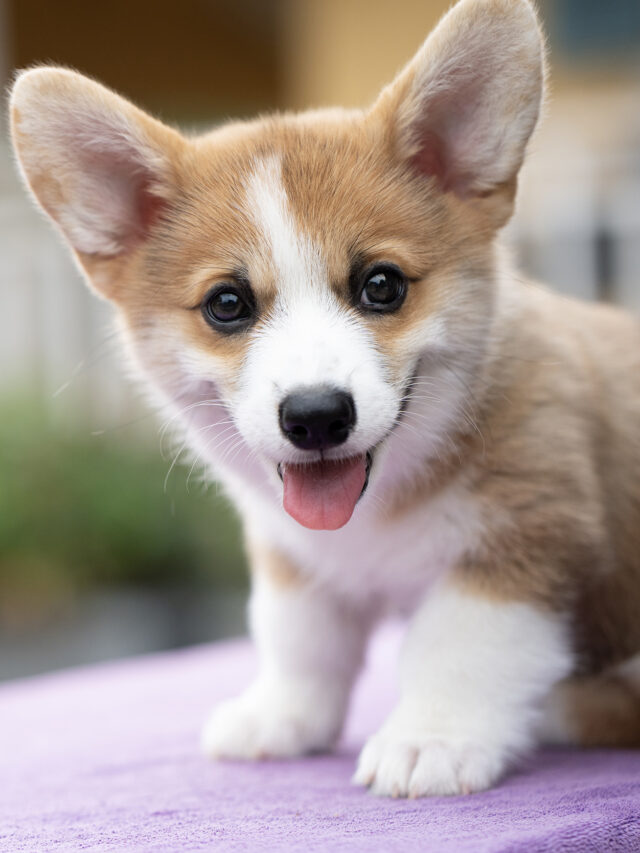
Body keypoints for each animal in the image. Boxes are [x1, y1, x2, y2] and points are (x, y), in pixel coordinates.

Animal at [10, 0, 640, 800]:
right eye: (227, 304)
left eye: (382, 285)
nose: (315, 417)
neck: (385, 500)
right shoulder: (294, 560)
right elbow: (300, 640)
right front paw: (279, 717)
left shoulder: (527, 537)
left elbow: (459, 645)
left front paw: (428, 738)